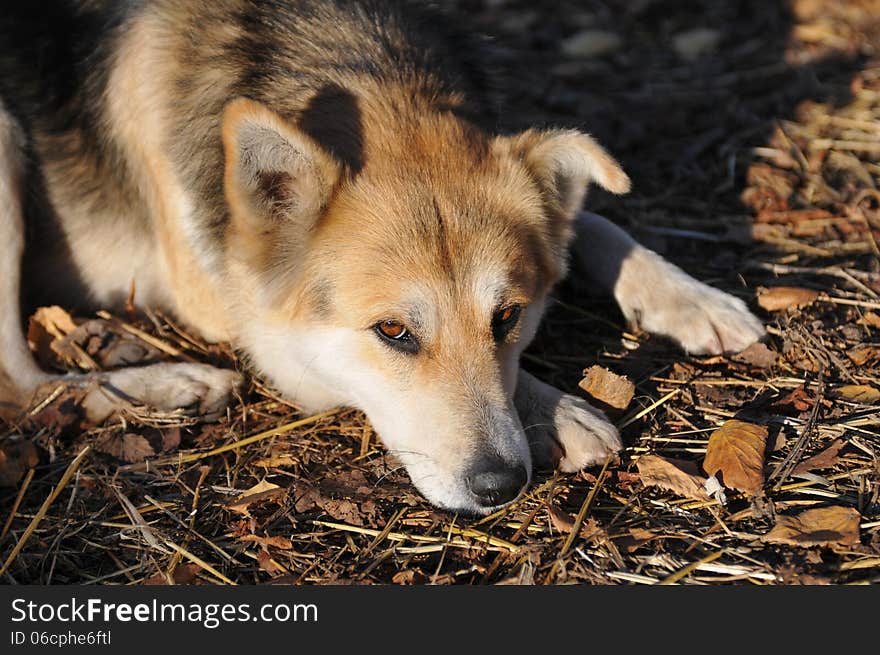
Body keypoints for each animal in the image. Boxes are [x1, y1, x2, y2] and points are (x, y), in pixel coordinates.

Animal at [0, 0, 764, 516]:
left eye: (508, 317)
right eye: (392, 331)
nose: (501, 486)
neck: (351, 68)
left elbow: (595, 222)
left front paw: (694, 299)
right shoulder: (234, 304)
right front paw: (561, 411)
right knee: (22, 382)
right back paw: (168, 383)